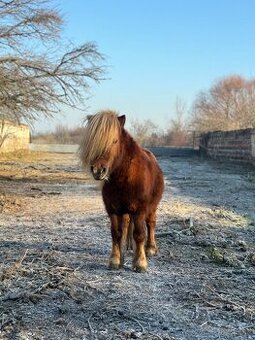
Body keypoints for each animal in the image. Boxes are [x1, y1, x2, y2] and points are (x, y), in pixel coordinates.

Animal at [78, 110, 164, 272]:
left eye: (114, 141)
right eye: (92, 142)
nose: (98, 170)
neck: (125, 178)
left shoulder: (140, 210)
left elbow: (139, 234)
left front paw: (140, 262)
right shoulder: (113, 209)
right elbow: (116, 233)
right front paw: (116, 260)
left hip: (152, 207)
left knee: (151, 223)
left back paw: (150, 249)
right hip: (124, 211)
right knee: (125, 226)